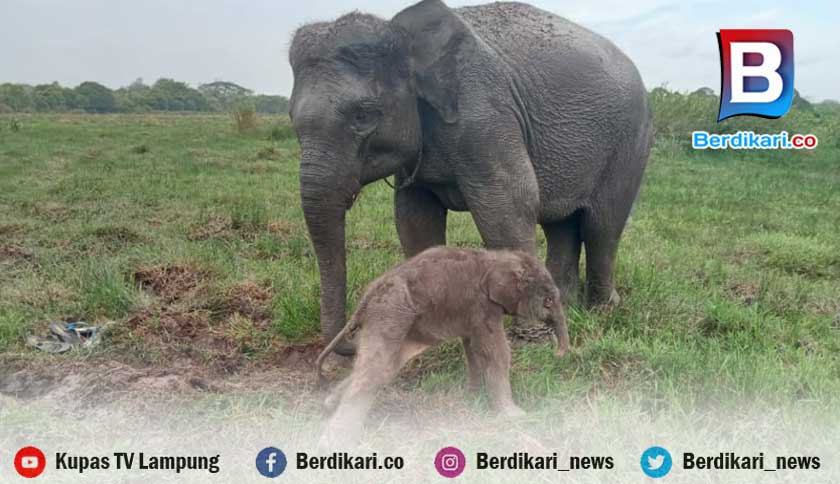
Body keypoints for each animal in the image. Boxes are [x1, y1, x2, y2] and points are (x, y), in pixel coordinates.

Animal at [292, 0, 652, 356]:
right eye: (293, 119)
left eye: (363, 116)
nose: (354, 339)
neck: (403, 33)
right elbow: (414, 219)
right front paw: (430, 331)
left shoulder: (485, 114)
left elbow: (508, 207)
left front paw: (532, 341)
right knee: (560, 225)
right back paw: (566, 305)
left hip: (630, 144)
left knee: (602, 227)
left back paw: (602, 308)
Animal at [316, 248, 572, 448]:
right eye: (549, 301)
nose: (558, 354)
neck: (498, 257)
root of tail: (367, 297)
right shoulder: (482, 305)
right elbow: (495, 351)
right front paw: (515, 416)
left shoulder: (472, 311)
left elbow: (473, 348)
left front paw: (472, 398)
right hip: (390, 314)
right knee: (377, 369)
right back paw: (334, 442)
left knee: (385, 366)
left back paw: (328, 405)